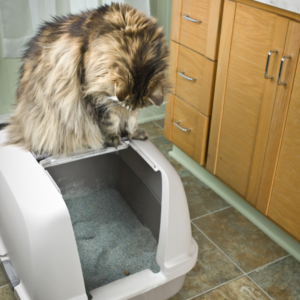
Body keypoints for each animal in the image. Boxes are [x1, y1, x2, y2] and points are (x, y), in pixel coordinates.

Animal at [4, 2, 169, 155]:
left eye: (132, 107)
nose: (122, 107)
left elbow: (131, 121)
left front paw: (133, 133)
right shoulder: (98, 97)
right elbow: (110, 122)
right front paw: (113, 139)